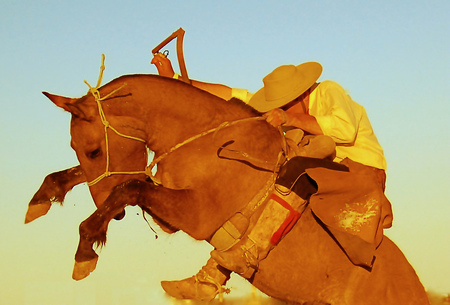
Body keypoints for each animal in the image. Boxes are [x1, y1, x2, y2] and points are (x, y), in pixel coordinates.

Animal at [25, 57, 428, 304]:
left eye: (94, 150)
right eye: (78, 149)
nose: (117, 217)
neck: (206, 139)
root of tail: (417, 288)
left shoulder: (196, 215)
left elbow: (131, 187)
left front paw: (85, 250)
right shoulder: (171, 217)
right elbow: (117, 183)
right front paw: (42, 198)